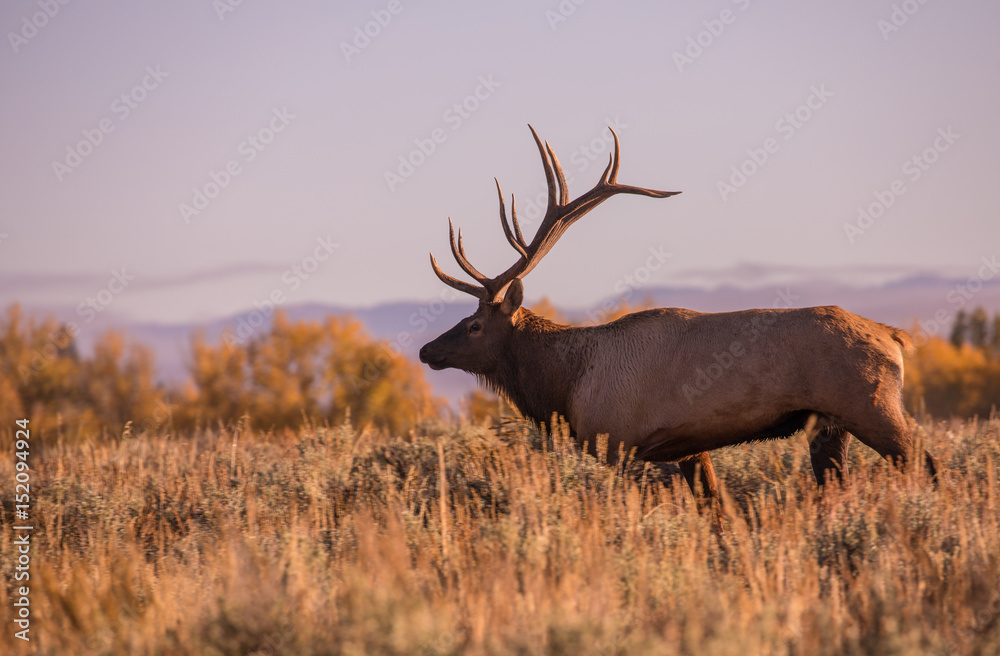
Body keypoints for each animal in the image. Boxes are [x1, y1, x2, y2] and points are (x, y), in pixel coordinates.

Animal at [418, 125, 937, 502]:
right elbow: (716, 510)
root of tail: (895, 337)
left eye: (474, 325)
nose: (427, 350)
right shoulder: (690, 448)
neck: (566, 383)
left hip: (873, 408)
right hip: (829, 427)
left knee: (927, 464)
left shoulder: (618, 442)